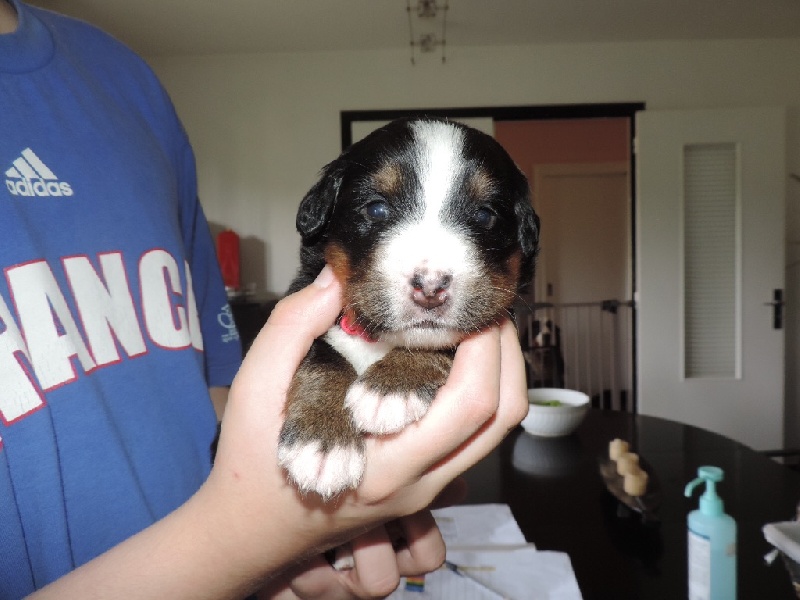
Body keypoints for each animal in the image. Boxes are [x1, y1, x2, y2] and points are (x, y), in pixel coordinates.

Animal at [277, 117, 540, 499]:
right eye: (376, 209)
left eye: (484, 215)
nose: (430, 286)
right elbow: (321, 356)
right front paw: (322, 442)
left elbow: (442, 342)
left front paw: (391, 387)